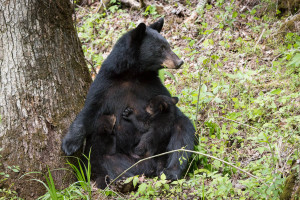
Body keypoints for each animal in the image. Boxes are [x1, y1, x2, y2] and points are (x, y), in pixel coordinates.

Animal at [62, 18, 196, 184]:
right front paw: (69, 144)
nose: (179, 62)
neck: (132, 74)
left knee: (182, 133)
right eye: (161, 48)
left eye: (168, 45)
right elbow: (89, 110)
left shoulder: (152, 85)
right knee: (107, 160)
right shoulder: (105, 84)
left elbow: (172, 110)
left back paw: (171, 172)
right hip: (117, 157)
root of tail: (149, 166)